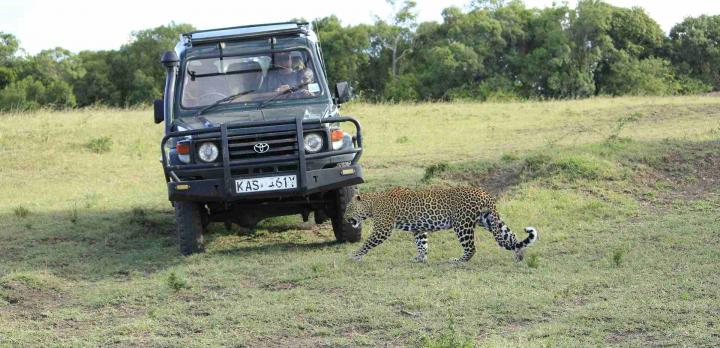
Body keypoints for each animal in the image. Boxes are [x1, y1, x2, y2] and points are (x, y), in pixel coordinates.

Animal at [346, 186, 536, 262]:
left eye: (348, 208)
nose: (345, 218)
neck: (371, 204)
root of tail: (484, 193)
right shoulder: (418, 229)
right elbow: (422, 244)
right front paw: (420, 258)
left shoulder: (382, 229)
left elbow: (367, 243)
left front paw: (354, 255)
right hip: (488, 221)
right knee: (512, 236)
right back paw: (519, 255)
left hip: (462, 224)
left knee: (471, 248)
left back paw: (458, 260)